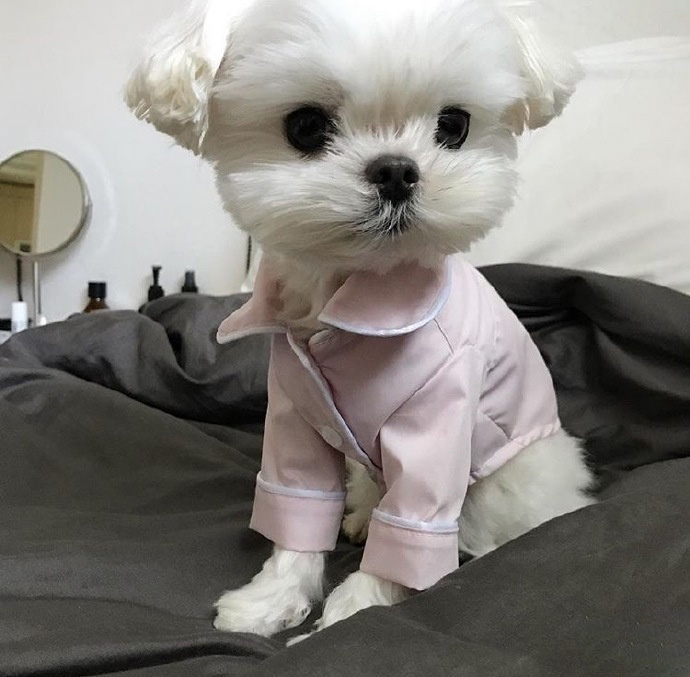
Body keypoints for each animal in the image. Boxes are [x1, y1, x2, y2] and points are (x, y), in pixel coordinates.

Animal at [126, 0, 595, 640]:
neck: (353, 301)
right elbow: (297, 507)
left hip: (512, 480)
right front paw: (272, 599)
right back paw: (359, 517)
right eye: (305, 126)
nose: (396, 170)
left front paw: (358, 610)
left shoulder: (439, 422)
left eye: (454, 126)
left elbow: (412, 525)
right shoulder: (295, 417)